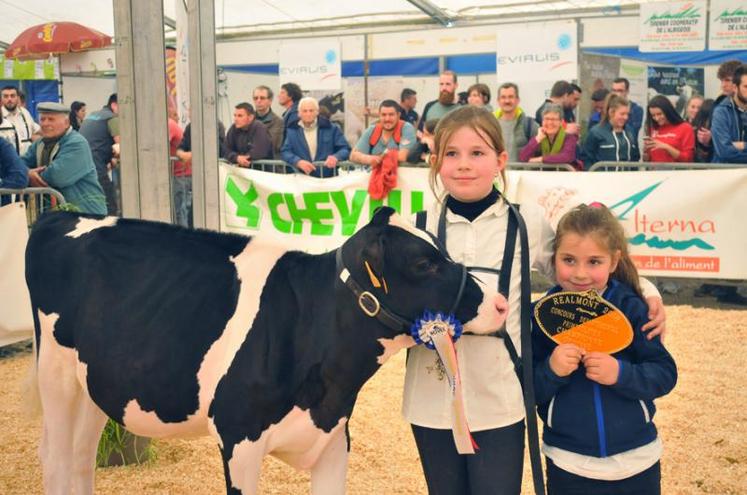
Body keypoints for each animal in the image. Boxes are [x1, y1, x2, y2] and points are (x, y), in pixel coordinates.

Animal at [26, 207, 512, 494]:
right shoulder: (238, 440)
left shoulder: (333, 441)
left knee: (80, 458)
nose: (501, 303)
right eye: (424, 263)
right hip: (54, 375)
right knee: (55, 459)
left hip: (93, 385)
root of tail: (60, 215)